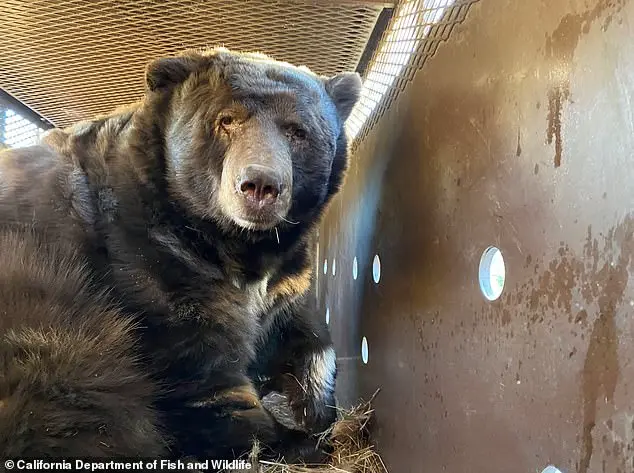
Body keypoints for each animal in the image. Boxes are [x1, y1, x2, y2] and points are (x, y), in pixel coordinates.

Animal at [0, 48, 358, 460]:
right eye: (226, 120)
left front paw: (311, 406)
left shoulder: (286, 281)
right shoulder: (153, 264)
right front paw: (291, 436)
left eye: (298, 131)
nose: (260, 185)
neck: (237, 246)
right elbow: (204, 380)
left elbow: (305, 330)